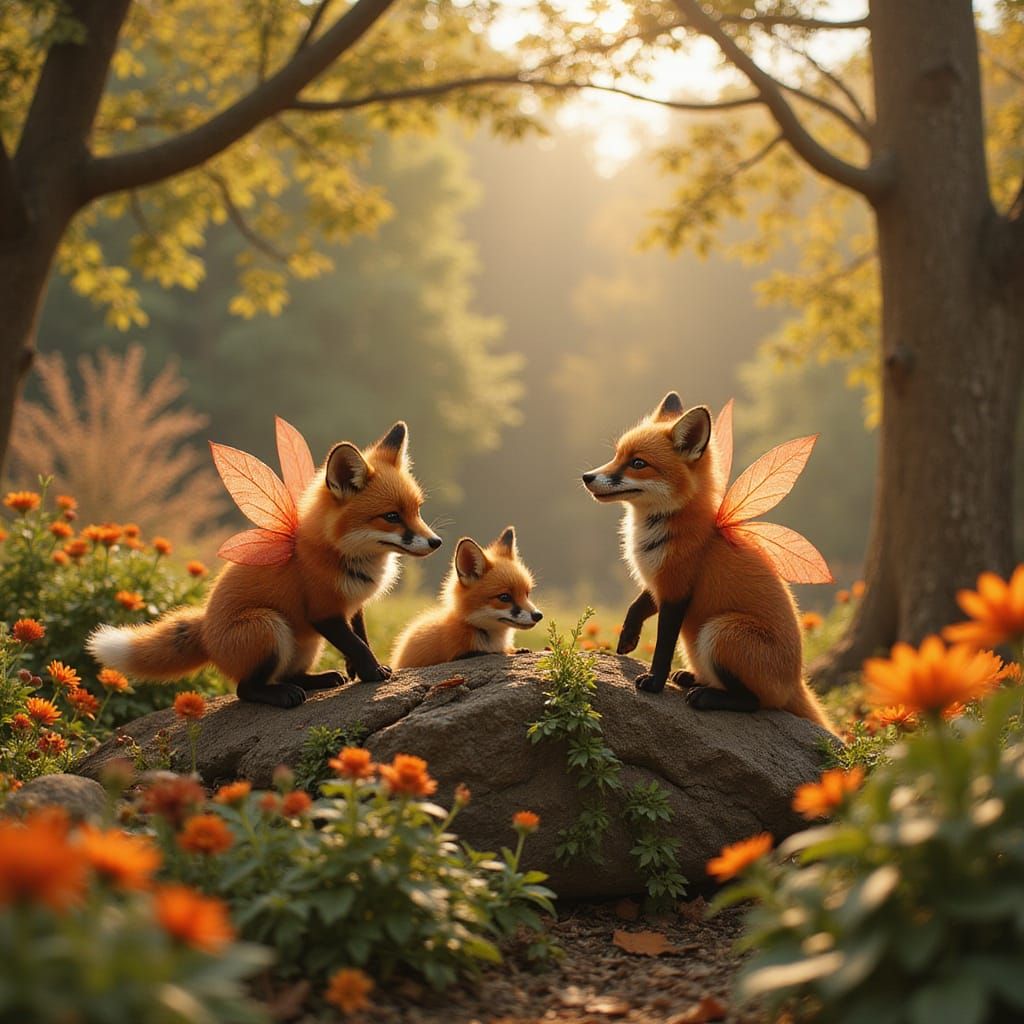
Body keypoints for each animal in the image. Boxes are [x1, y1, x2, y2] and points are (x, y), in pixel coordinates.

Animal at [87, 422, 442, 708]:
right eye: (392, 516)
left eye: (417, 511)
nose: (436, 542)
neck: (343, 556)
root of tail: (206, 631)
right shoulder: (323, 611)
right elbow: (356, 644)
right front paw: (372, 672)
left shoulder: (353, 607)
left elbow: (360, 639)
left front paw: (357, 670)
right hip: (269, 627)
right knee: (246, 689)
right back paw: (281, 695)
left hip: (306, 644)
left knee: (290, 674)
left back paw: (317, 680)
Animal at [582, 392, 833, 733]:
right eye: (617, 455)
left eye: (638, 463)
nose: (587, 477)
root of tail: (797, 681)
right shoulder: (660, 582)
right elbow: (635, 608)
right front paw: (627, 639)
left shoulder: (677, 589)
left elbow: (662, 646)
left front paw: (654, 683)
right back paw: (691, 678)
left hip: (720, 631)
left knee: (756, 703)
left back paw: (707, 696)